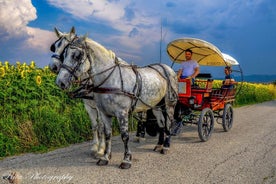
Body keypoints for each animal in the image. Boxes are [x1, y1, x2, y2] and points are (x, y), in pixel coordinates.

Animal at [49, 26, 105, 157]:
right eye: (55, 46)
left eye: (65, 48)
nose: (52, 67)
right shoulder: (88, 105)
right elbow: (94, 125)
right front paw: (95, 147)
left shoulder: (99, 106)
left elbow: (101, 126)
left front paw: (101, 149)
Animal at [55, 35, 179, 169]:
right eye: (64, 54)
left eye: (77, 55)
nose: (60, 82)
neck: (110, 79)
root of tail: (168, 69)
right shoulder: (104, 113)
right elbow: (107, 134)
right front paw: (105, 157)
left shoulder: (122, 112)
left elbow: (124, 136)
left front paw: (126, 159)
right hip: (156, 105)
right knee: (161, 124)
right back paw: (159, 145)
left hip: (169, 104)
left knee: (169, 124)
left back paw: (166, 146)